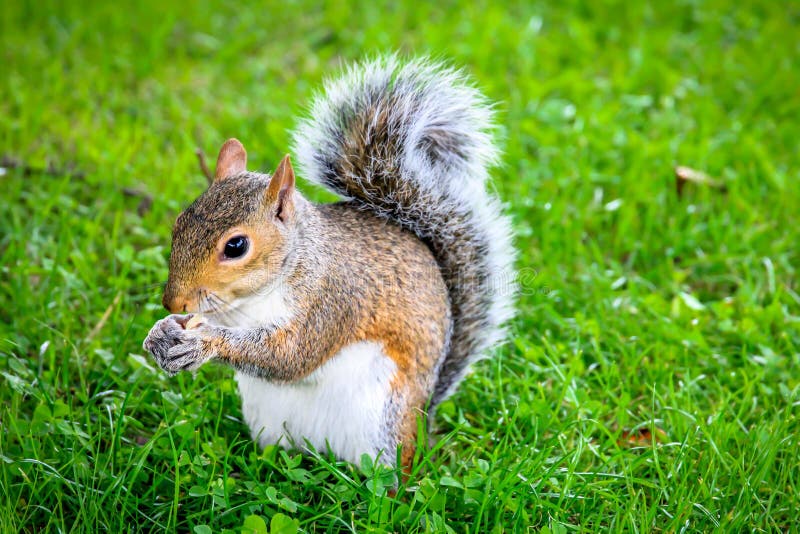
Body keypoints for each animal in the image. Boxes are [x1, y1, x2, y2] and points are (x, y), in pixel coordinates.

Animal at [142, 56, 520, 472]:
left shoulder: (332, 302)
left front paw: (205, 342)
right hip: (268, 421)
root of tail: (424, 418)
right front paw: (161, 332)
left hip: (383, 423)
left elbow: (290, 356)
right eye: (179, 222)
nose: (173, 301)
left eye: (236, 246)